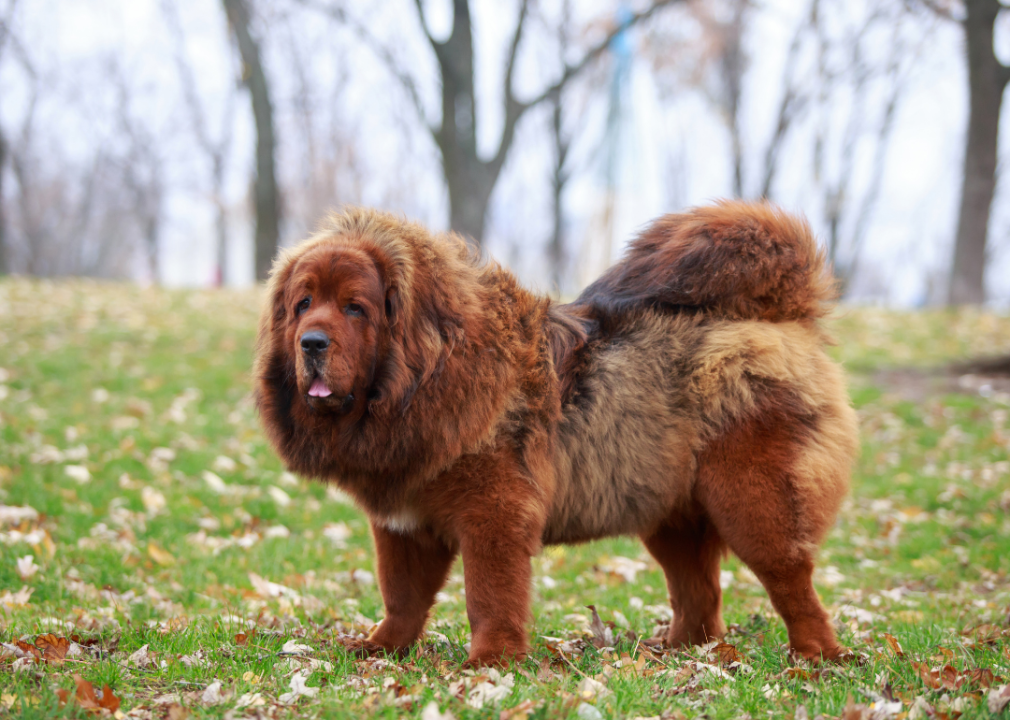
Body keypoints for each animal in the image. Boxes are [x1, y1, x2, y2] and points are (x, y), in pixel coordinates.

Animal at [254, 198, 860, 666]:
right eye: (303, 304)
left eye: (355, 309)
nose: (311, 342)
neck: (425, 378)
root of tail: (784, 318)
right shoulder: (403, 523)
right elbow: (402, 597)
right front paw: (380, 649)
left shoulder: (493, 513)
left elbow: (489, 595)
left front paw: (490, 661)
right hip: (670, 514)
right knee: (701, 596)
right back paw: (678, 652)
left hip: (752, 502)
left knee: (791, 582)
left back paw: (816, 657)